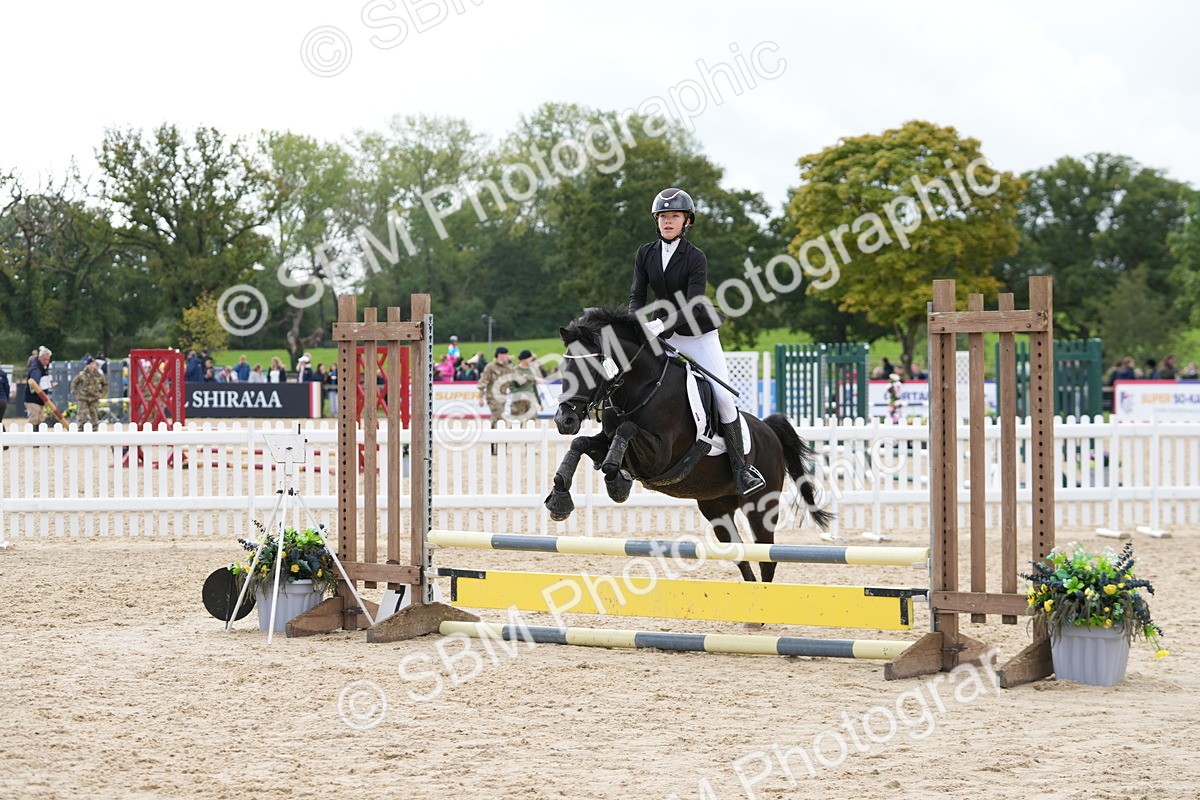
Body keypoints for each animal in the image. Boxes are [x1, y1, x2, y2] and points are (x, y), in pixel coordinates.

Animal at [544, 307, 832, 583]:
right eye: (563, 368)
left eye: (591, 369)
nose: (564, 420)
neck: (642, 388)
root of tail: (769, 429)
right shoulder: (606, 441)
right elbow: (580, 442)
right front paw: (560, 495)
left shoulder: (660, 457)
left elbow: (627, 430)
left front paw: (616, 480)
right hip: (716, 507)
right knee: (741, 556)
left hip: (761, 506)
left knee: (766, 558)